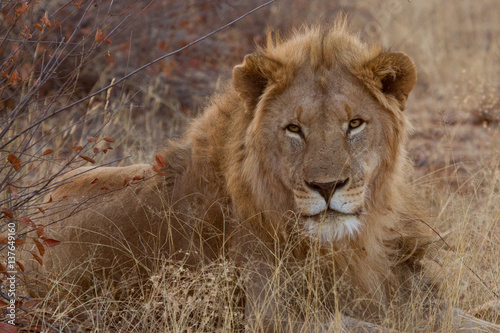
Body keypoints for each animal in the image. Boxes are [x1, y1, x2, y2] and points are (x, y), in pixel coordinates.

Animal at [32, 19, 500, 330]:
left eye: (355, 124)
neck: (354, 245)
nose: (327, 187)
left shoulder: (400, 291)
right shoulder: (273, 314)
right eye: (294, 129)